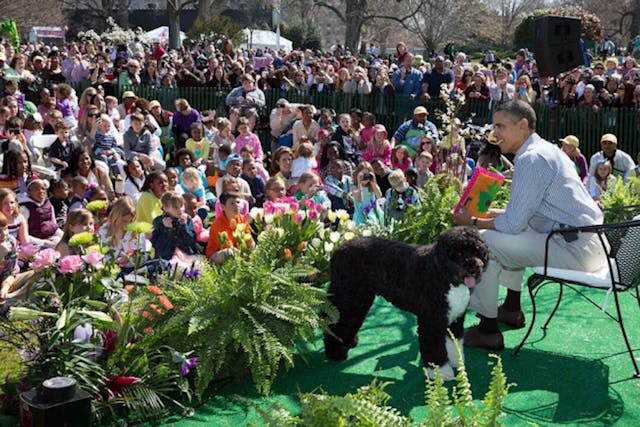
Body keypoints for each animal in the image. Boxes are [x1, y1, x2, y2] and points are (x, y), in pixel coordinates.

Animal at [324, 227, 490, 382]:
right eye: (458, 252)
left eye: (477, 250)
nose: (473, 267)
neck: (443, 275)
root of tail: (337, 250)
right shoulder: (431, 322)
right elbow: (434, 349)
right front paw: (441, 373)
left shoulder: (455, 318)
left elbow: (453, 344)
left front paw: (457, 362)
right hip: (347, 296)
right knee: (332, 322)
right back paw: (336, 354)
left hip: (360, 299)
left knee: (349, 321)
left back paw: (348, 342)